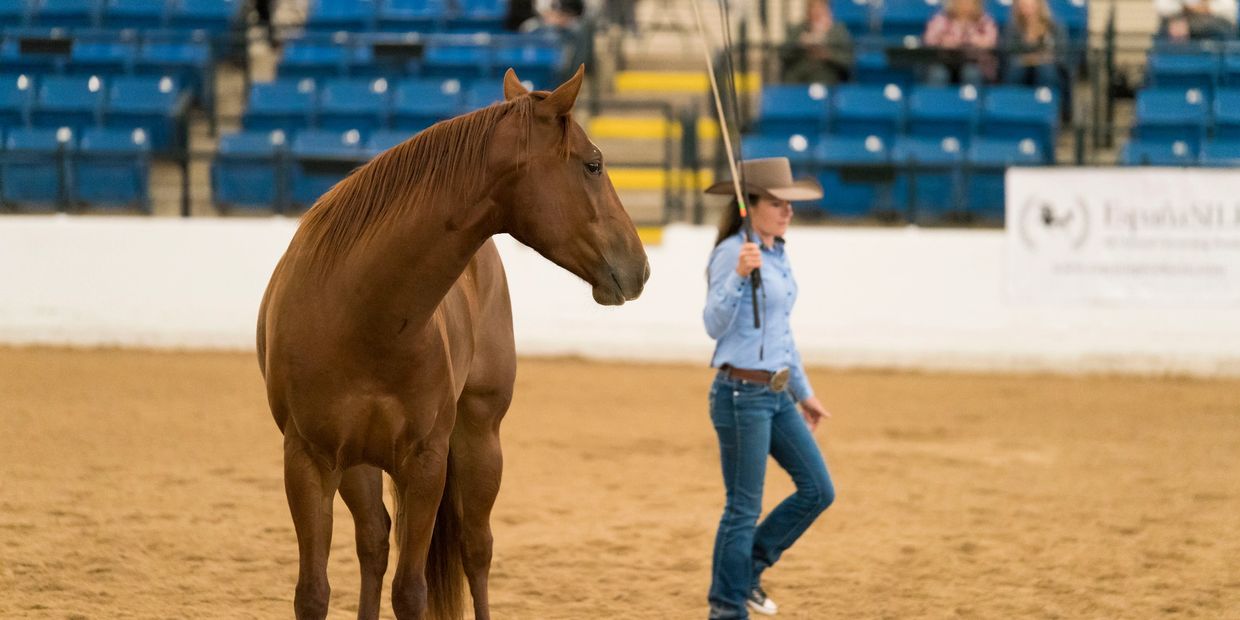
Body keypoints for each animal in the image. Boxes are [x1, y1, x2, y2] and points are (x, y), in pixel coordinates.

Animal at [257, 65, 654, 617]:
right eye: (593, 165)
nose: (640, 267)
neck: (361, 313)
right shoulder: (308, 462)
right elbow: (313, 593)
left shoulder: (425, 464)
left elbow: (412, 591)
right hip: (358, 464)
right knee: (374, 540)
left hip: (479, 436)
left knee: (475, 547)